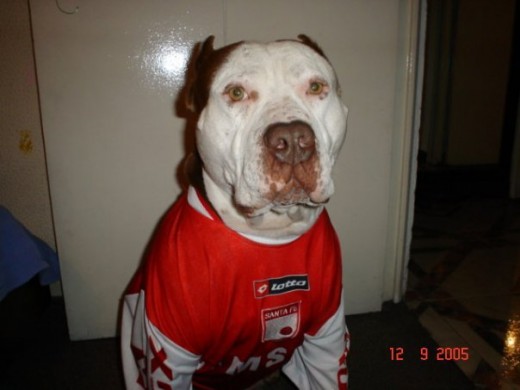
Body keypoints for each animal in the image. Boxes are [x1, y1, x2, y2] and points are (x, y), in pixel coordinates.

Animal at [122, 35, 350, 390]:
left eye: (315, 87)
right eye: (236, 93)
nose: (293, 140)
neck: (269, 232)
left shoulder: (327, 338)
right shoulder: (168, 353)